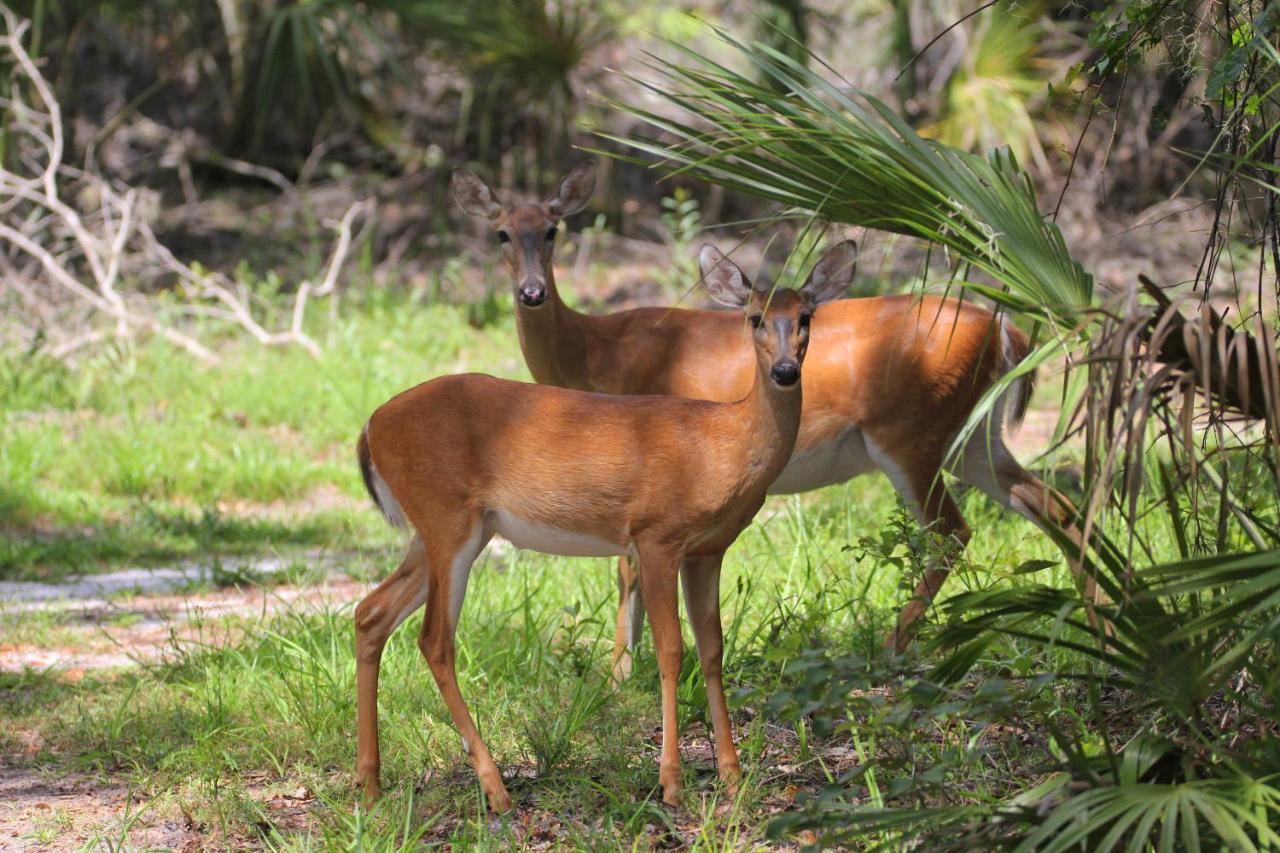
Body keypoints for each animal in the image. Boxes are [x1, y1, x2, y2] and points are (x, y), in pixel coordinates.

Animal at [350, 242, 849, 809]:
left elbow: (713, 649)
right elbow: (671, 650)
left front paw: (732, 775)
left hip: (445, 530)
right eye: (754, 318)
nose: (786, 370)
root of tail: (370, 427)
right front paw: (671, 781)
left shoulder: (709, 549)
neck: (723, 445)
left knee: (371, 613)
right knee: (434, 640)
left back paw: (371, 782)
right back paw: (495, 788)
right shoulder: (657, 533)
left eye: (806, 316)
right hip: (447, 519)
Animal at [450, 157, 1090, 671]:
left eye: (553, 229)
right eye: (501, 232)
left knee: (953, 530)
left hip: (913, 431)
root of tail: (1004, 327)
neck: (594, 353)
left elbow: (626, 570)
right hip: (973, 436)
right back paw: (1097, 615)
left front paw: (619, 677)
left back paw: (894, 647)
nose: (532, 292)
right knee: (1050, 503)